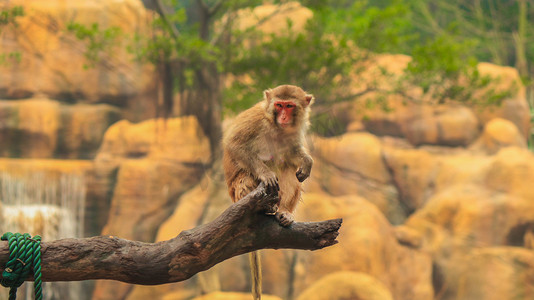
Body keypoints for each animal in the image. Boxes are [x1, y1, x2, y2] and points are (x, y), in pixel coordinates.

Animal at [224, 84, 316, 300]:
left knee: (289, 169)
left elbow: (293, 153)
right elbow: (234, 145)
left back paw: (283, 212)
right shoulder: (255, 120)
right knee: (250, 176)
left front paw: (307, 161)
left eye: (289, 106)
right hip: (239, 193)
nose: (283, 117)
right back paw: (264, 208)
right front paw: (266, 174)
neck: (276, 127)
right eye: (279, 105)